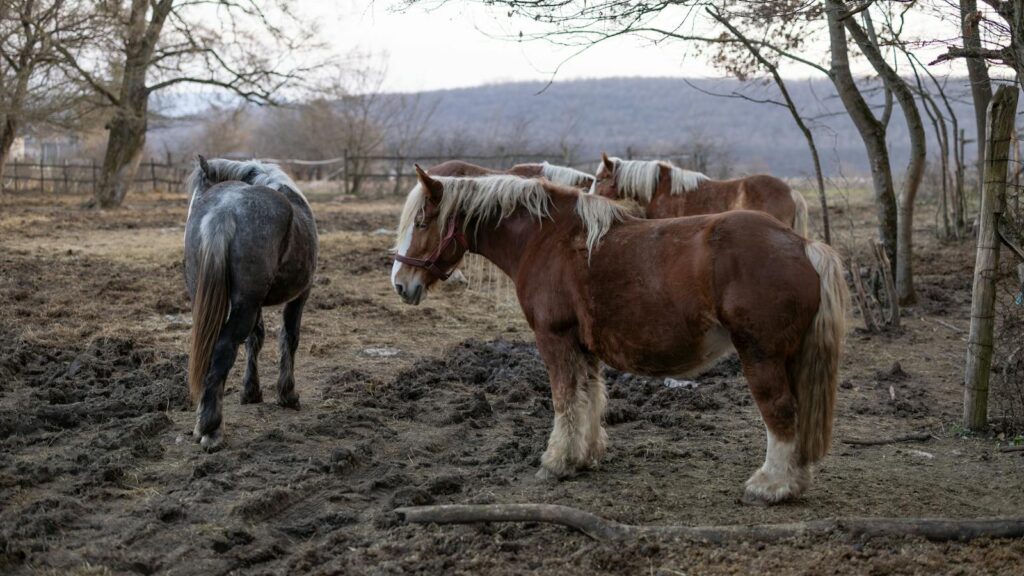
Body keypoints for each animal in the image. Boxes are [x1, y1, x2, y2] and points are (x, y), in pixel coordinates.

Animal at [184, 157, 318, 450]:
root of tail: (224, 211)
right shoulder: (300, 295)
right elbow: (289, 338)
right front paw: (288, 395)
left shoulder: (254, 305)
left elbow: (255, 340)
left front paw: (251, 392)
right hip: (248, 305)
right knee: (223, 349)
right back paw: (211, 429)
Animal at [391, 167, 848, 504]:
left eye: (421, 221)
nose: (400, 284)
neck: (546, 239)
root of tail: (802, 245)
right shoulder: (583, 345)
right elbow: (590, 396)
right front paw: (586, 456)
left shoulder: (554, 339)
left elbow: (564, 400)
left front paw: (556, 461)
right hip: (788, 357)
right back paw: (794, 481)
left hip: (761, 355)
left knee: (780, 412)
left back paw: (771, 485)